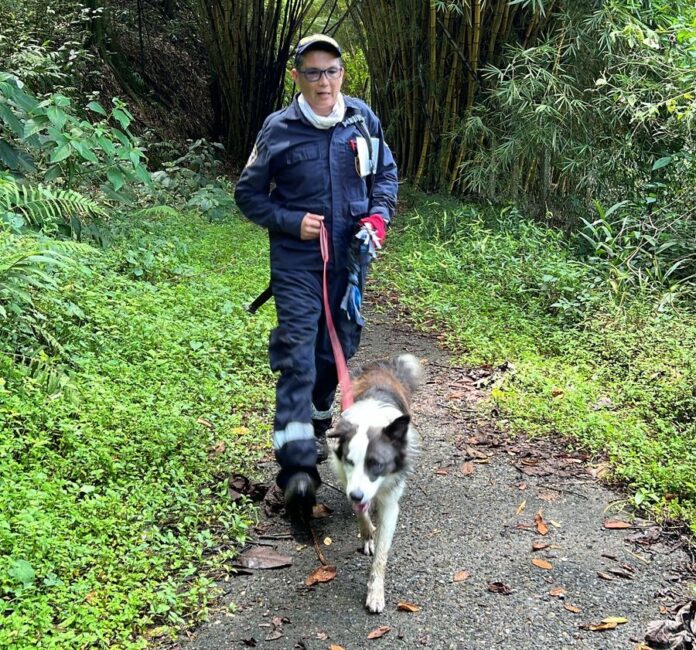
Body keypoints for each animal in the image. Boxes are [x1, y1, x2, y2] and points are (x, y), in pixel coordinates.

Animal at [328, 354, 422, 612]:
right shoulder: (348, 480)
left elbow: (382, 553)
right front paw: (368, 533)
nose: (356, 496)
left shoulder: (390, 501)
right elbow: (361, 514)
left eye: (377, 464)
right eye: (350, 461)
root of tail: (382, 366)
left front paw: (376, 592)